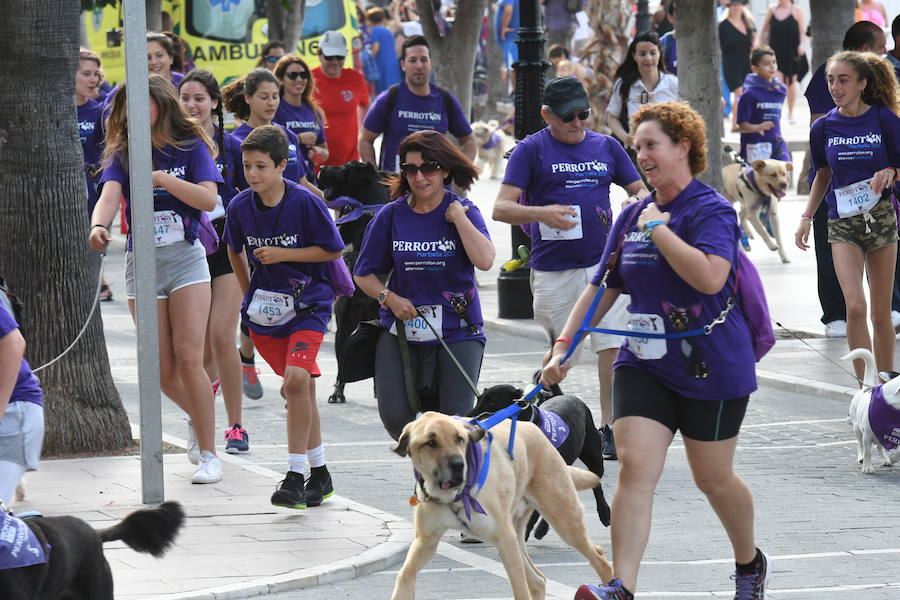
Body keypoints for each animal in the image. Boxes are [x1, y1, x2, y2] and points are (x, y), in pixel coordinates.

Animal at [388, 412, 612, 600]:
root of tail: (536, 430)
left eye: (459, 439)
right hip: (519, 535)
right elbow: (404, 575)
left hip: (563, 520)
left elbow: (520, 590)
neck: (455, 496)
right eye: (430, 443)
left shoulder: (504, 539)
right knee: (538, 580)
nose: (459, 465)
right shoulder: (426, 541)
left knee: (600, 559)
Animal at [464, 384, 612, 540]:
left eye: (491, 403)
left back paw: (604, 513)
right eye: (478, 400)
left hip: (593, 457)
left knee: (596, 484)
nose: (467, 418)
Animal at [844, 346, 900, 474]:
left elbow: (898, 451)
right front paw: (867, 467)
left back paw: (885, 458)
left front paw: (892, 458)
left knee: (879, 447)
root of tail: (866, 386)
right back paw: (861, 457)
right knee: (860, 445)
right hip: (857, 429)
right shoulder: (867, 435)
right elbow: (868, 452)